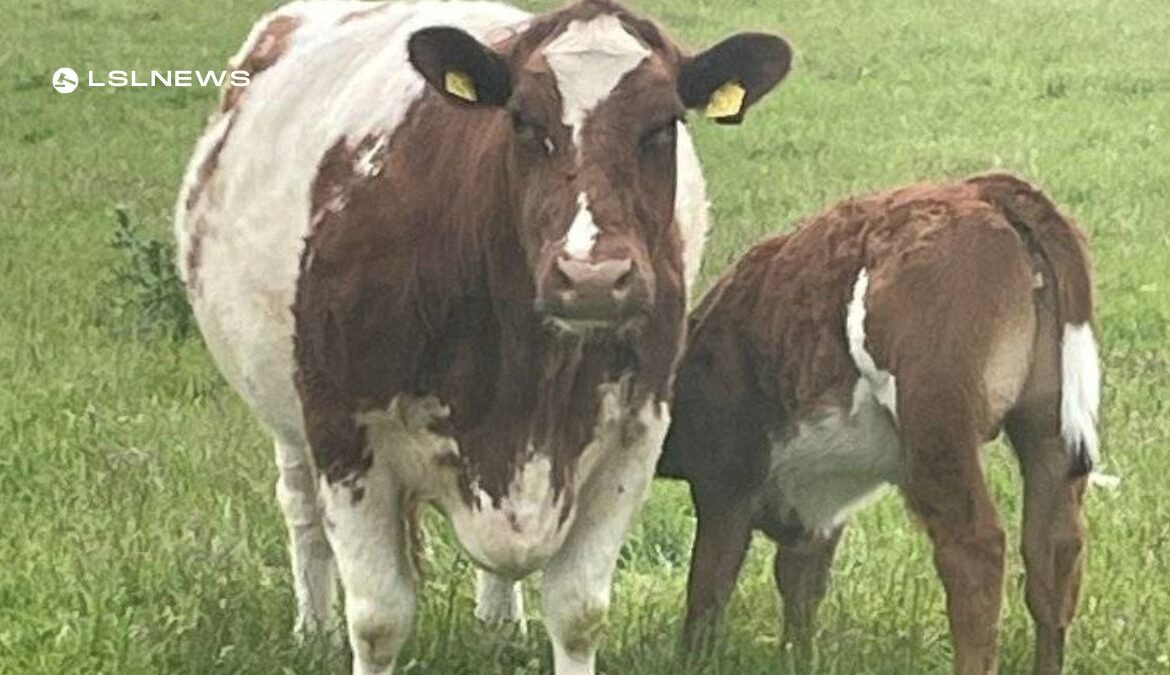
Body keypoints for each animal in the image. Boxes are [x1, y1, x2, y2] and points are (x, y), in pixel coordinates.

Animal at [175, 1, 795, 673]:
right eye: (522, 121)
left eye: (664, 125)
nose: (592, 277)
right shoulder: (343, 431)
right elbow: (379, 619)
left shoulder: (633, 435)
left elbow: (579, 612)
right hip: (284, 411)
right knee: (302, 513)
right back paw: (313, 629)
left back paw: (500, 623)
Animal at [664, 173, 1099, 673]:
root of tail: (980, 188)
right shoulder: (815, 499)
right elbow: (799, 586)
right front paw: (798, 659)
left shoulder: (725, 483)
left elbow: (708, 591)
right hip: (1046, 428)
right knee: (1054, 551)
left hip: (936, 425)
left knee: (975, 550)